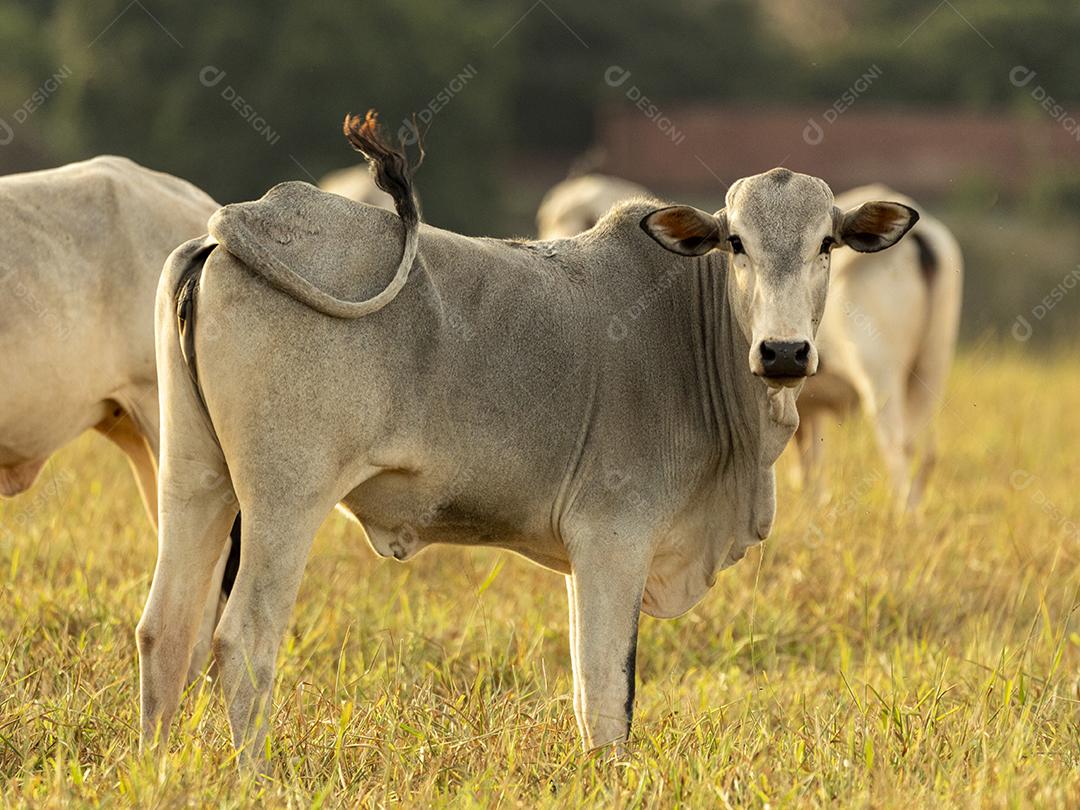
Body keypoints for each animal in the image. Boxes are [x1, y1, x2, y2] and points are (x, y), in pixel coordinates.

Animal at [136, 110, 918, 764]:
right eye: (736, 244)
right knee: (243, 641)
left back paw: (155, 769)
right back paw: (254, 776)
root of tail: (239, 221)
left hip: (195, 480)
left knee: (164, 631)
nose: (784, 352)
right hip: (284, 498)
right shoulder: (612, 538)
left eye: (827, 243)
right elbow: (606, 697)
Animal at [793, 185, 963, 511]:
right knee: (925, 450)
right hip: (932, 365)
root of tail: (920, 234)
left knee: (898, 446)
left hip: (880, 375)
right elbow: (811, 460)